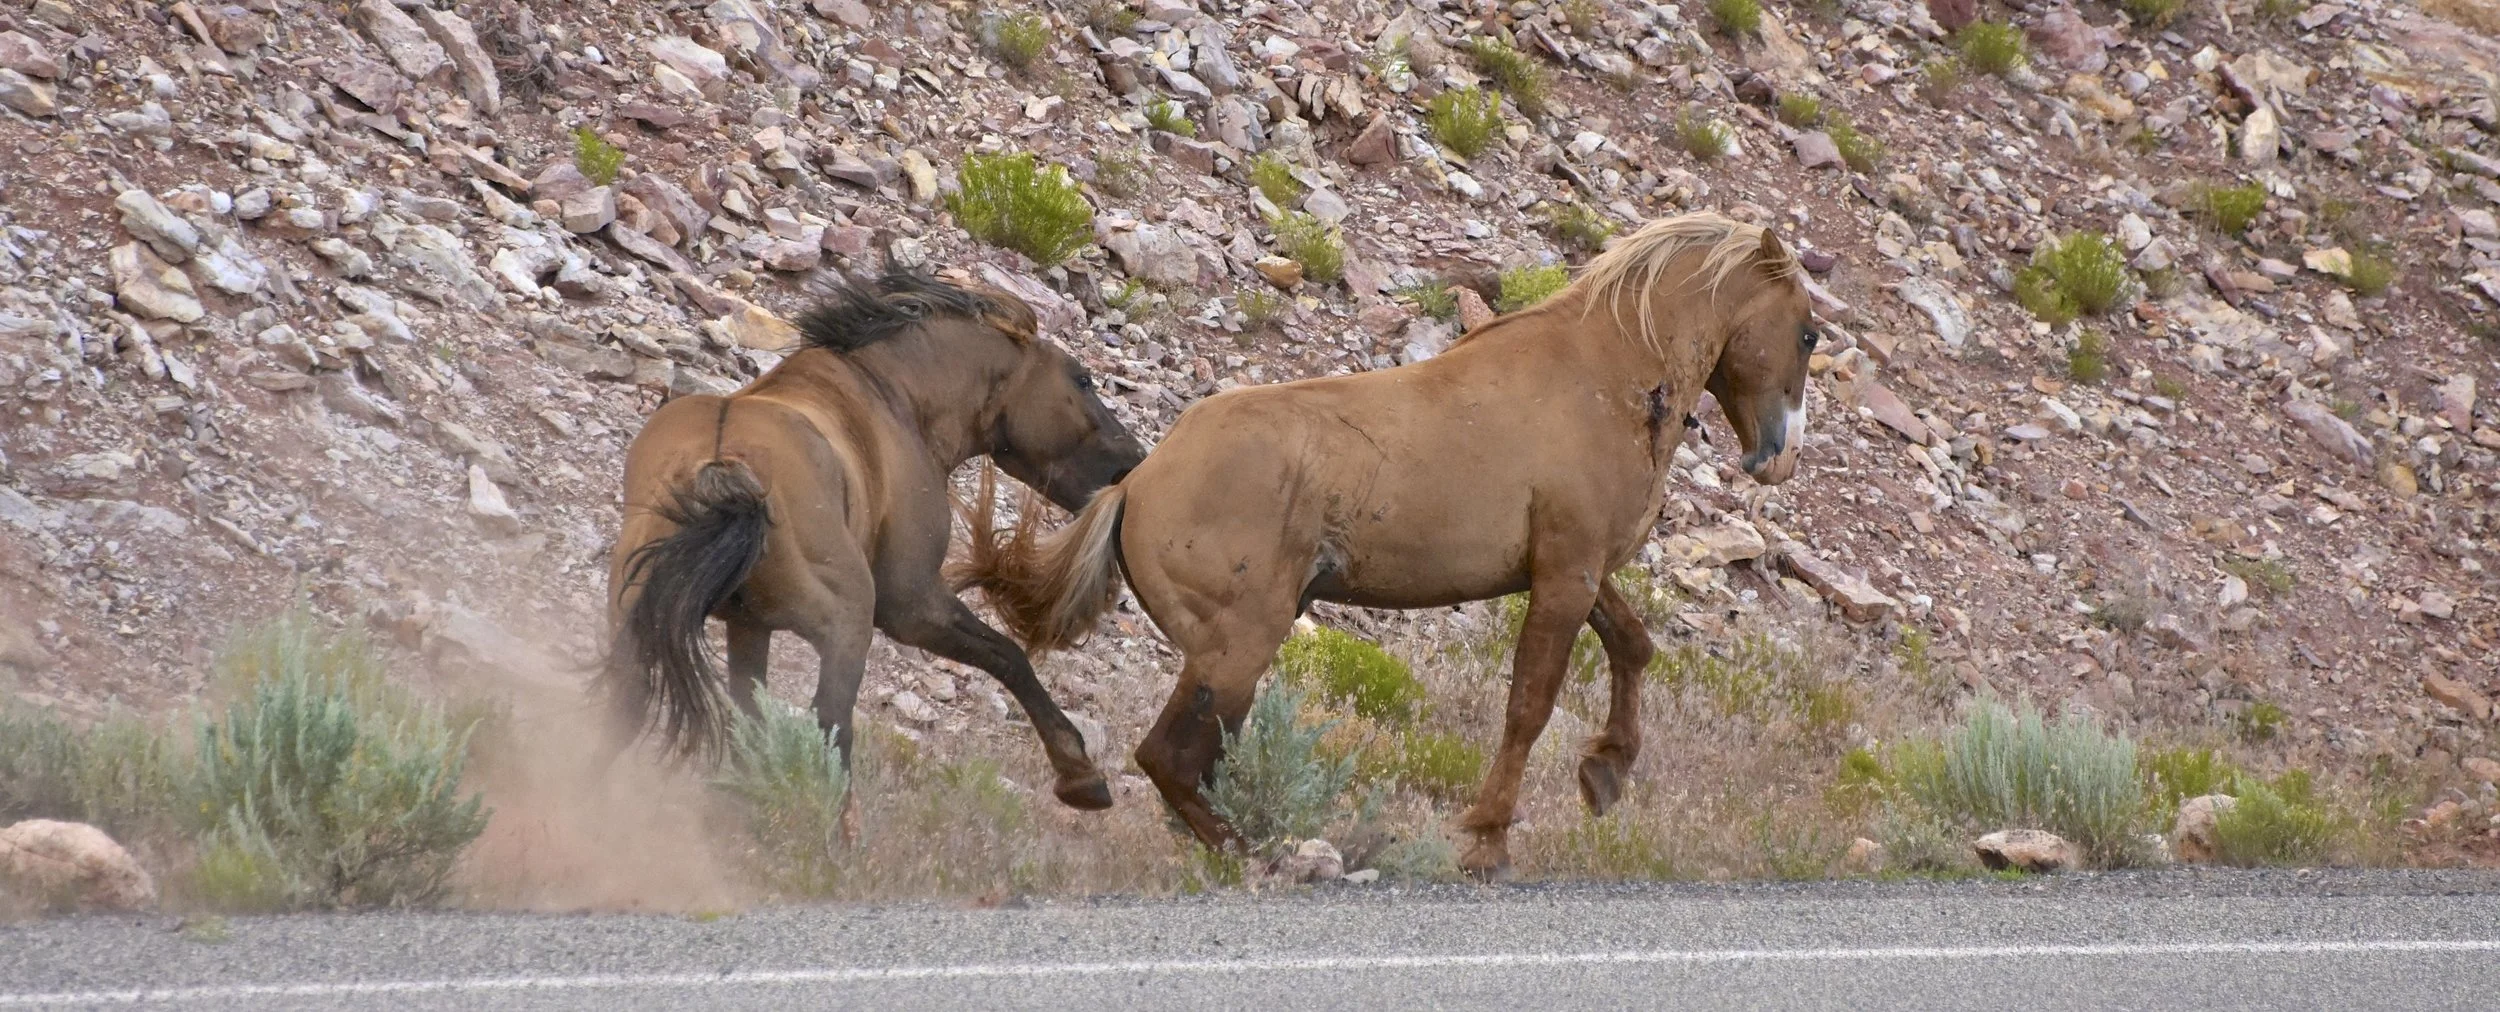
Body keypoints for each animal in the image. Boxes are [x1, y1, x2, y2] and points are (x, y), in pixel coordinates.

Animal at [603, 269, 1146, 812]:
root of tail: (722, 470)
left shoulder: (748, 627)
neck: (891, 397)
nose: (1133, 461)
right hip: (847, 626)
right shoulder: (910, 603)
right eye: (1082, 379)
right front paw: (1080, 774)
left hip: (639, 633)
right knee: (831, 733)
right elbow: (1009, 657)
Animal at [956, 212, 1820, 875]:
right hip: (1238, 647)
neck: (1605, 378)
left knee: (1190, 762)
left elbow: (1634, 646)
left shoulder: (1572, 570)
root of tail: (1135, 486)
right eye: (1810, 335)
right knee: (1167, 759)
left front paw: (1604, 772)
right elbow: (1530, 706)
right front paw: (1485, 841)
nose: (1778, 457)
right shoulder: (1565, 575)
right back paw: (1255, 853)